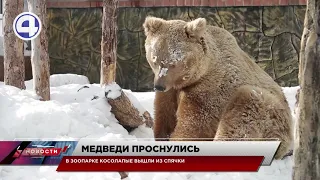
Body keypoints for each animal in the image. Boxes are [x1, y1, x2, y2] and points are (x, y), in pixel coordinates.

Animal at [142, 15, 292, 159]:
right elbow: (164, 116)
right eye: (154, 59)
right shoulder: (170, 92)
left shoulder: (210, 89)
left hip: (272, 115)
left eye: (173, 62)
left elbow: (194, 124)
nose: (159, 86)